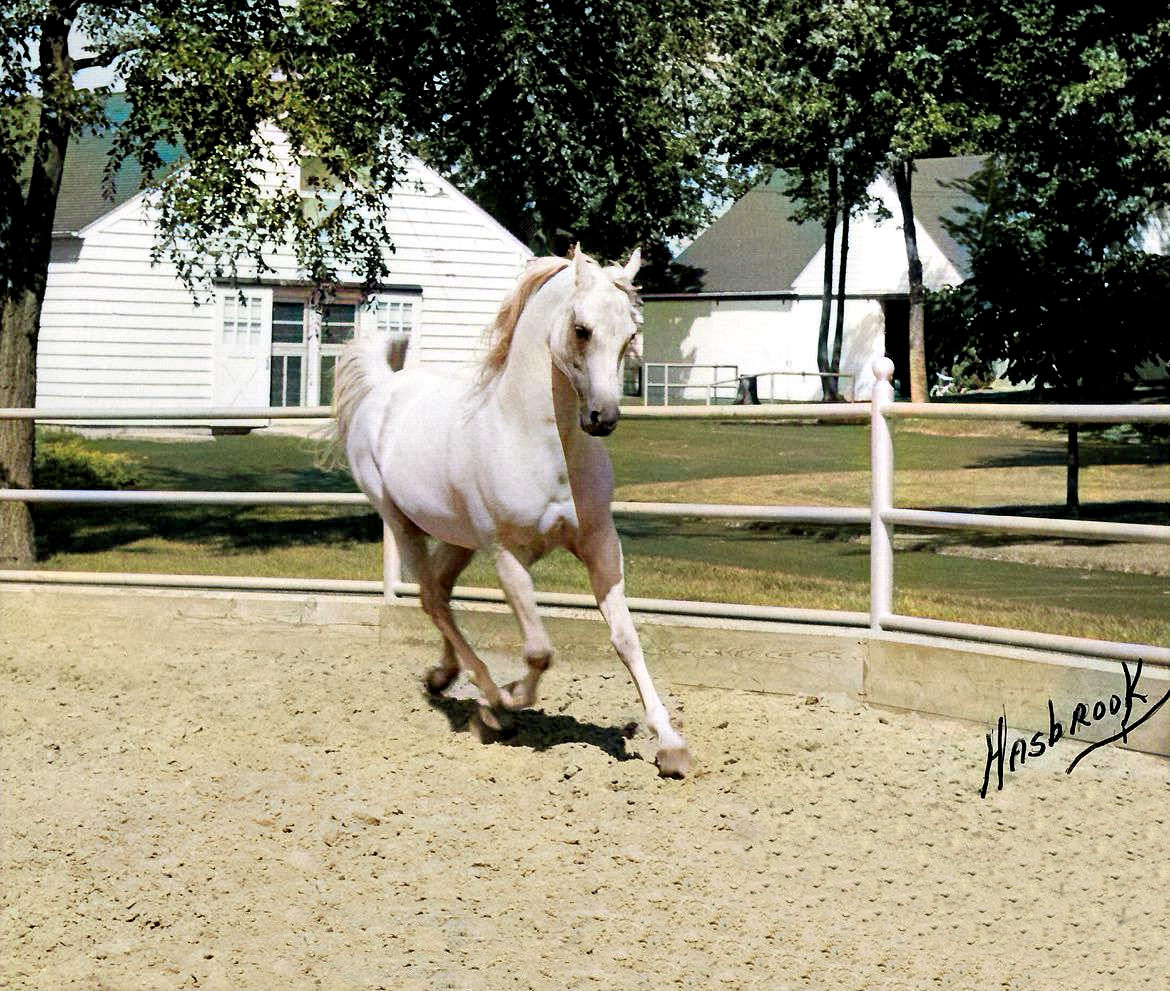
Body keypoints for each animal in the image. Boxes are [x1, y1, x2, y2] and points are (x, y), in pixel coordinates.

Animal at [333, 247, 691, 778]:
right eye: (581, 329)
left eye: (631, 332)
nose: (602, 418)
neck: (538, 445)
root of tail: (383, 389)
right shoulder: (508, 556)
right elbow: (540, 651)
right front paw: (504, 702)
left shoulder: (602, 545)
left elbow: (626, 638)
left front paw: (670, 746)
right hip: (401, 523)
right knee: (432, 599)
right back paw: (488, 703)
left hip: (457, 538)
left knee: (439, 594)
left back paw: (443, 678)